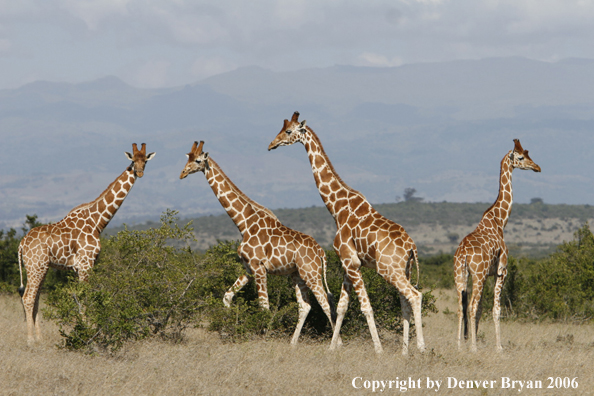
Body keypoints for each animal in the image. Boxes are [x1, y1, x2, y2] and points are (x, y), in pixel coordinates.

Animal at [18, 144, 154, 344]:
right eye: (133, 160)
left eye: (145, 160)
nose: (139, 172)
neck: (97, 222)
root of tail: (21, 243)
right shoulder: (85, 264)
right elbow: (85, 297)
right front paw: (87, 332)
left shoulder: (81, 266)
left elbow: (80, 298)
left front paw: (84, 329)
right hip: (36, 266)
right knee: (28, 297)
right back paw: (30, 341)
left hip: (41, 267)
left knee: (35, 298)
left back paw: (40, 338)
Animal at [178, 142, 336, 344]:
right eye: (187, 158)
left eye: (197, 160)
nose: (182, 173)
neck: (244, 223)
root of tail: (321, 252)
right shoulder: (248, 268)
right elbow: (227, 296)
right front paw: (228, 330)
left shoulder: (259, 268)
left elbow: (264, 306)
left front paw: (264, 338)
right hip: (297, 275)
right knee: (305, 306)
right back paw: (293, 344)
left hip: (311, 273)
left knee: (326, 303)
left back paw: (335, 344)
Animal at [266, 112, 424, 356]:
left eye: (289, 131)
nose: (271, 144)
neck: (337, 208)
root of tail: (411, 247)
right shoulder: (346, 264)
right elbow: (340, 307)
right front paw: (332, 348)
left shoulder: (352, 263)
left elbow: (365, 307)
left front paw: (378, 350)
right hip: (403, 270)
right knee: (405, 302)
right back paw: (405, 351)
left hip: (389, 269)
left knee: (415, 296)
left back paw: (422, 348)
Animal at [450, 139, 540, 352]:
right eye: (521, 157)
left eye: (528, 153)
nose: (537, 167)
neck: (500, 220)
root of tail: (463, 254)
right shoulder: (501, 271)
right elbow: (496, 308)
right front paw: (499, 347)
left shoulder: (488, 274)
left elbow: (482, 309)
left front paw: (473, 341)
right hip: (477, 275)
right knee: (471, 306)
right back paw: (473, 348)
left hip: (460, 275)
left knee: (460, 307)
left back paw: (459, 347)